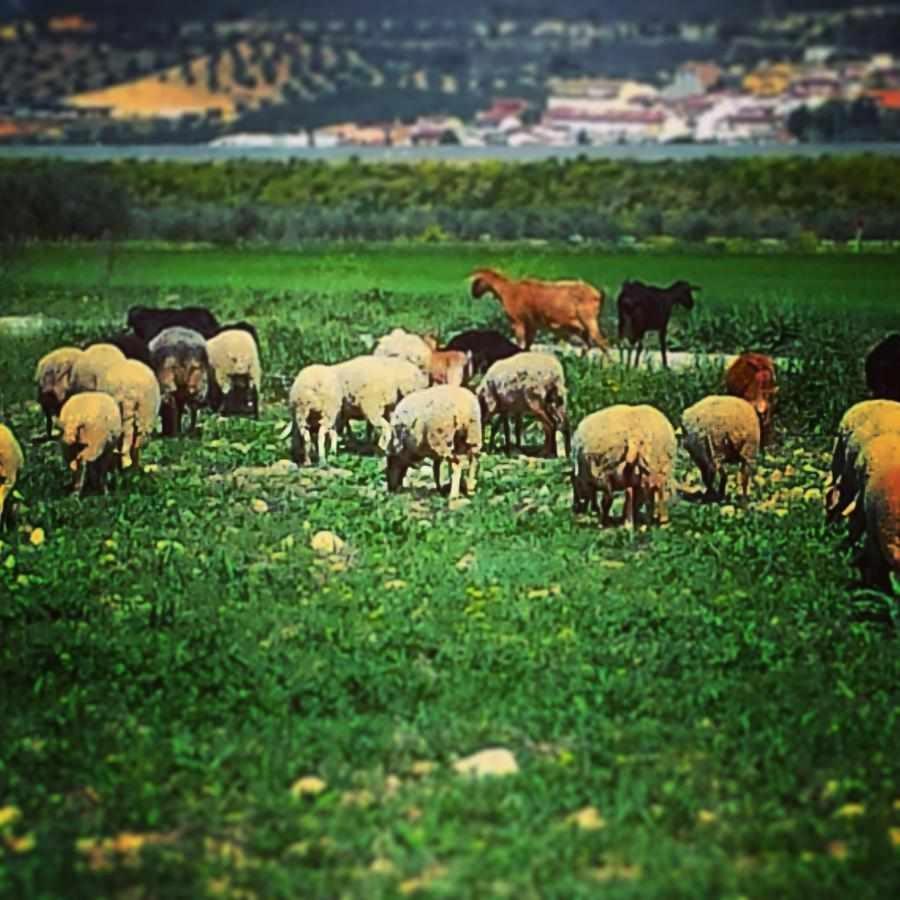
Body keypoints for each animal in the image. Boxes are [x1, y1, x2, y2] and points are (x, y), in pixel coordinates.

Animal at [468, 268, 608, 352]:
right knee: (589, 344)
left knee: (602, 343)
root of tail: (597, 294)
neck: (506, 290)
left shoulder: (518, 321)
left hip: (588, 319)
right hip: (582, 327)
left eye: (476, 282)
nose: (473, 294)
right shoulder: (532, 324)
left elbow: (520, 343)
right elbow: (528, 346)